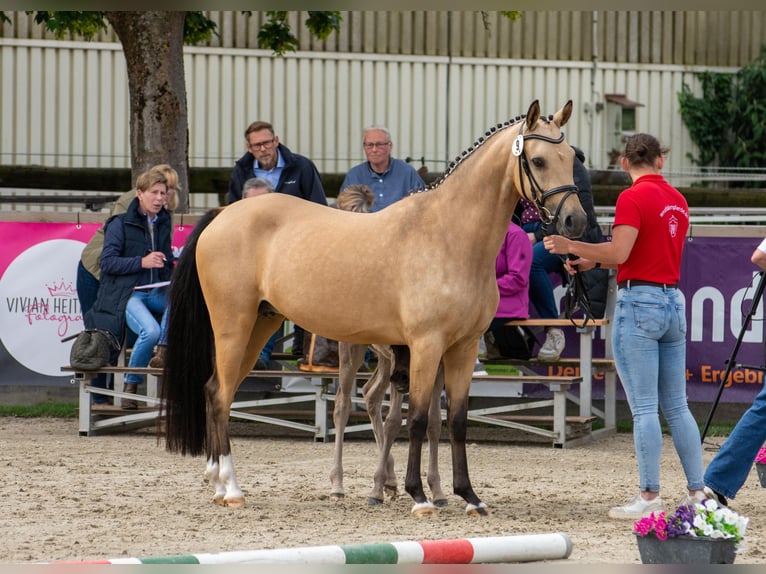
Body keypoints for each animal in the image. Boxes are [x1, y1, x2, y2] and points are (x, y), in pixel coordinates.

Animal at [160, 99, 587, 516]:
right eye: (538, 161)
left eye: (570, 156)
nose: (575, 221)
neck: (447, 235)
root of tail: (222, 215)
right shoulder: (425, 347)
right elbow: (417, 420)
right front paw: (419, 497)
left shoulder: (463, 349)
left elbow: (456, 421)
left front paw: (469, 497)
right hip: (234, 326)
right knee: (220, 394)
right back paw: (232, 488)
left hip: (260, 327)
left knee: (218, 390)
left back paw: (219, 484)